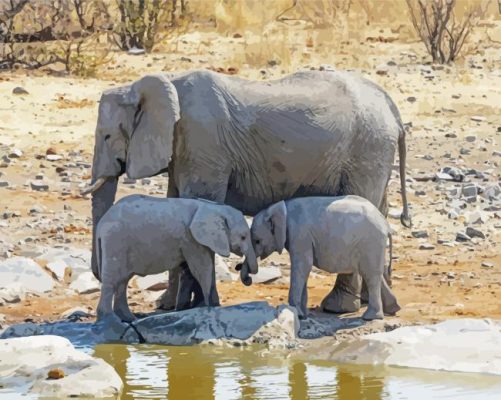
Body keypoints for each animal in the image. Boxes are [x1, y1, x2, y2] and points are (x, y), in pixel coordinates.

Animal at [95, 195, 256, 322]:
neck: (212, 207)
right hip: (115, 241)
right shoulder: (190, 239)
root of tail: (100, 225)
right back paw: (110, 319)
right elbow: (202, 268)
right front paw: (209, 307)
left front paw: (213, 305)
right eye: (243, 237)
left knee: (122, 280)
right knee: (112, 279)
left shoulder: (204, 240)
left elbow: (208, 267)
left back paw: (128, 319)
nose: (239, 267)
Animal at [240, 195, 400, 320]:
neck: (279, 208)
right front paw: (303, 315)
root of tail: (386, 225)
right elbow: (304, 269)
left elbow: (303, 265)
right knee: (373, 274)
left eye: (257, 241)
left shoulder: (299, 233)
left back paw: (370, 317)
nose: (248, 280)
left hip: (370, 242)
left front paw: (297, 314)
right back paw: (392, 309)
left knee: (370, 275)